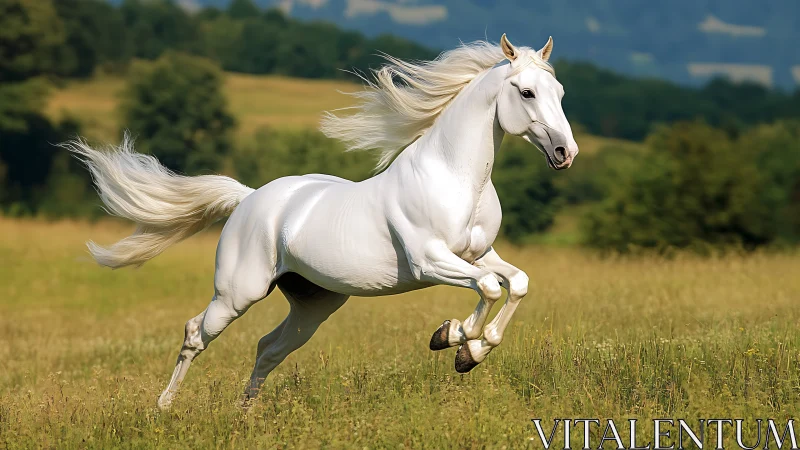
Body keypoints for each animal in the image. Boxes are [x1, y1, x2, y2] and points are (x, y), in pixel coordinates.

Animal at [63, 34, 579, 410]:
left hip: (314, 304)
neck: (453, 176)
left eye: (559, 93)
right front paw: (454, 340)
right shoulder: (430, 261)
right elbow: (489, 288)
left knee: (269, 347)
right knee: (195, 334)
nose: (565, 153)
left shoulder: (480, 254)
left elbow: (516, 283)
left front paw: (468, 348)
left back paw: (244, 414)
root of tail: (249, 199)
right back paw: (164, 407)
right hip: (237, 292)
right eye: (526, 92)